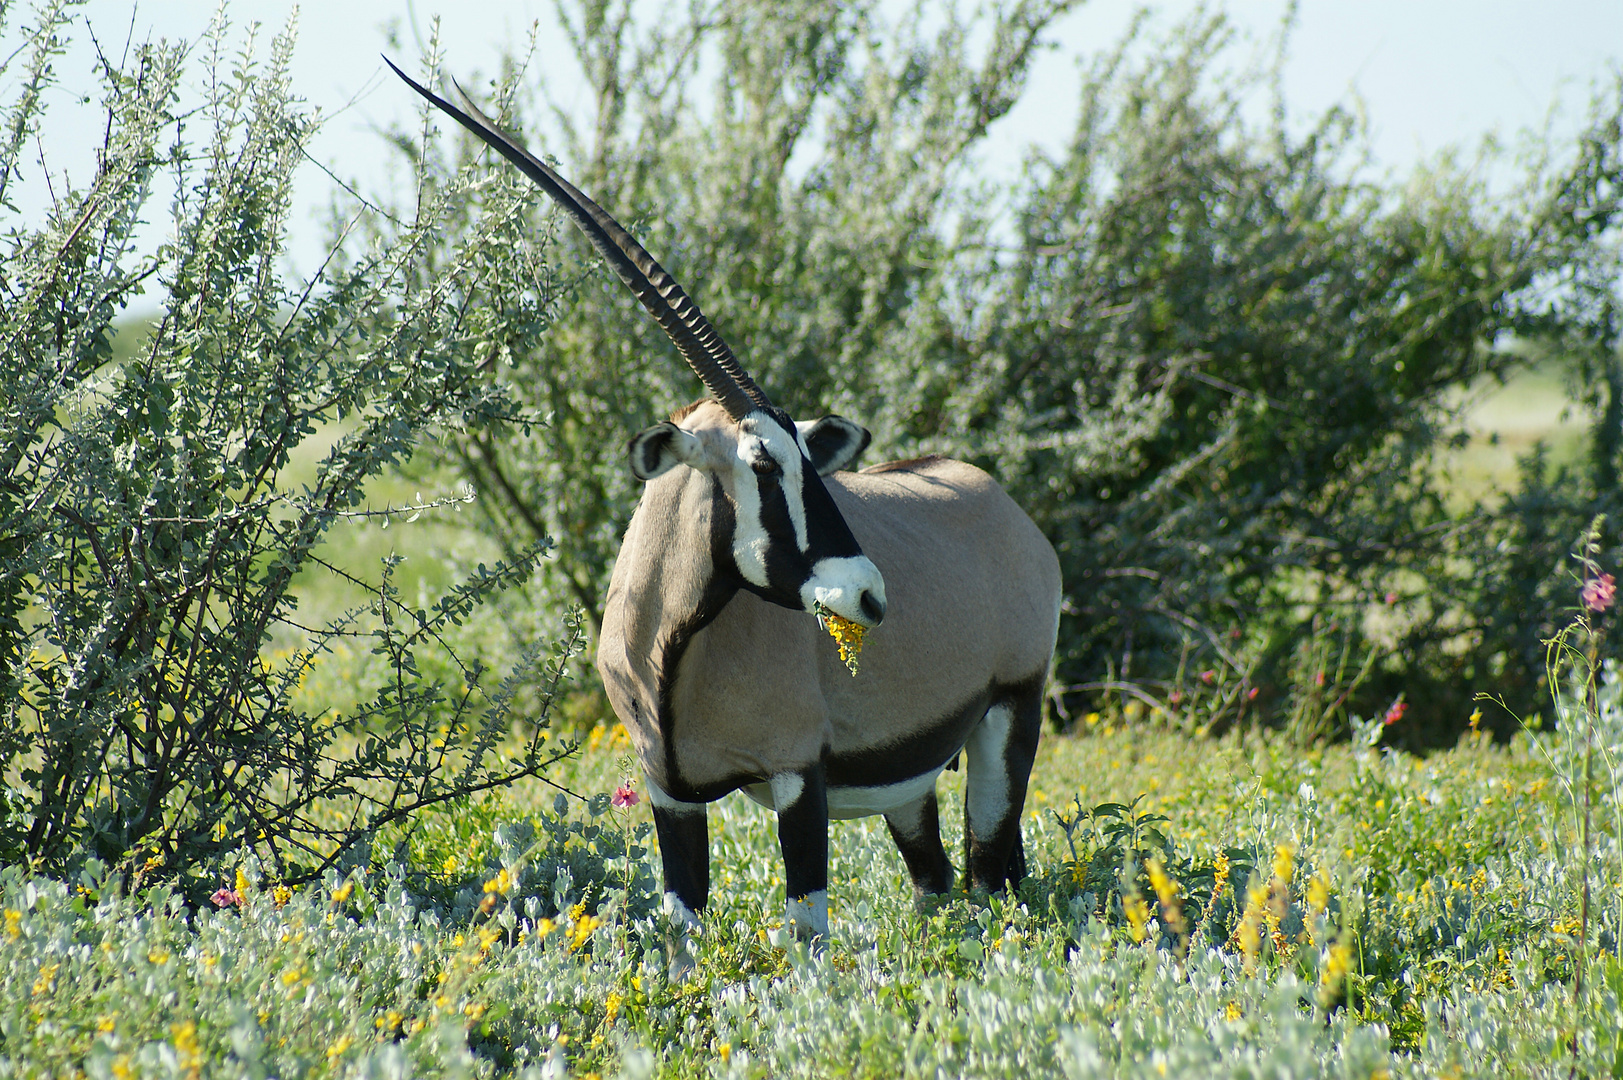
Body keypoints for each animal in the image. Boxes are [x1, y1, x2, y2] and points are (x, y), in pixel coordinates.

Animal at [392, 63, 1064, 941]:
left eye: (809, 458)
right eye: (761, 460)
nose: (868, 595)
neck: (670, 648)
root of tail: (998, 501)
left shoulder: (798, 778)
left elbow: (806, 933)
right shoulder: (670, 794)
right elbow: (682, 926)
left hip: (1008, 719)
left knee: (996, 872)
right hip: (911, 779)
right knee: (937, 879)